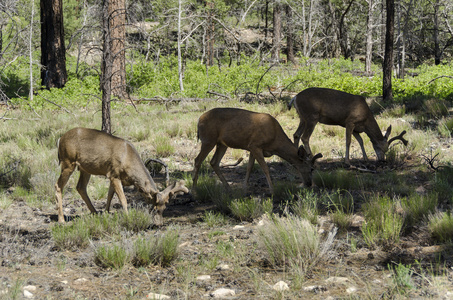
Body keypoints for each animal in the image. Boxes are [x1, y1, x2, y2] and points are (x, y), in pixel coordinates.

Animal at [53, 127, 188, 225]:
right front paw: (128, 217)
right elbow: (123, 199)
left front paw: (106, 213)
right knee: (58, 185)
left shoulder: (115, 177)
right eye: (155, 209)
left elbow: (109, 195)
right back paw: (61, 220)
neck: (128, 160)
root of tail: (59, 139)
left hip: (85, 168)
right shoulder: (114, 174)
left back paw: (95, 212)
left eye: (164, 208)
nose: (159, 224)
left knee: (80, 187)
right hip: (68, 161)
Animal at [191, 106, 322, 193]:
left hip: (222, 144)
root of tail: (198, 120)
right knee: (197, 160)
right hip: (208, 140)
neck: (275, 141)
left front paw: (244, 187)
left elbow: (249, 167)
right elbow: (265, 168)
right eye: (311, 168)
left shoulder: (251, 147)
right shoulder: (255, 145)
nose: (309, 184)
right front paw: (272, 189)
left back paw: (228, 188)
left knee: (214, 162)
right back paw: (194, 191)